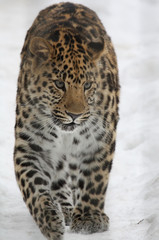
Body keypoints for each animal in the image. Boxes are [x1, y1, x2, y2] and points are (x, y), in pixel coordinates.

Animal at [14, 2, 120, 240]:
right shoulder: (31, 147)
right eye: (59, 84)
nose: (75, 115)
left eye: (87, 85)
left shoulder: (98, 141)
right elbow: (32, 185)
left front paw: (90, 219)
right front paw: (49, 220)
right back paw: (65, 210)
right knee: (59, 180)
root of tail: (68, 3)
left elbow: (94, 180)